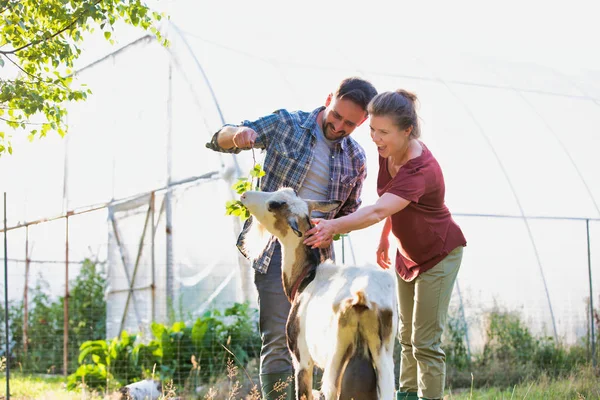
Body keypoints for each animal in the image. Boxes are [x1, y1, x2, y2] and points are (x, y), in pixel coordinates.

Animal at [239, 188, 398, 400]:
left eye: (273, 205)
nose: (245, 195)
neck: (308, 276)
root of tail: (361, 296)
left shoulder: (302, 359)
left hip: (334, 365)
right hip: (383, 363)